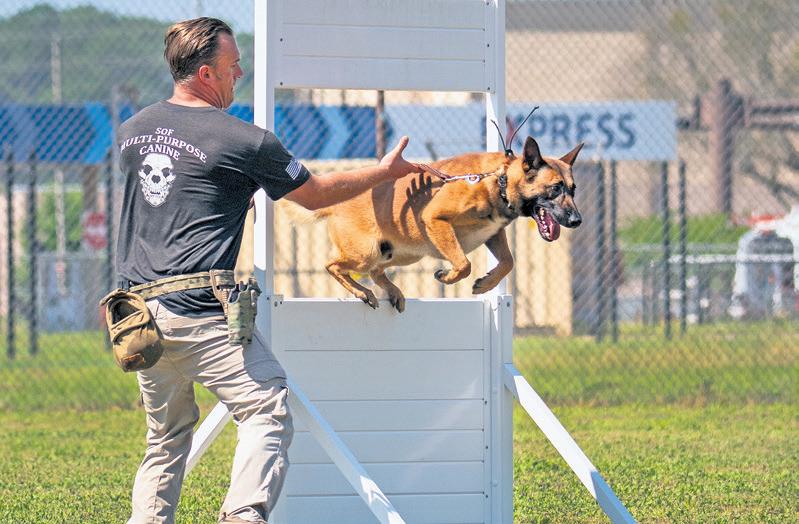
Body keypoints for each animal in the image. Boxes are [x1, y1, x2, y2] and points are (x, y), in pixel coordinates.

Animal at [289, 136, 583, 312]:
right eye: (555, 189)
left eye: (573, 189)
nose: (577, 221)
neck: (498, 180)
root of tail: (334, 204)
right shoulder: (435, 219)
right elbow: (464, 264)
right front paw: (448, 276)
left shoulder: (493, 234)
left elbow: (508, 262)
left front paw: (486, 284)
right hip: (367, 253)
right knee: (333, 266)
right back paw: (361, 292)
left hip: (403, 253)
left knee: (376, 272)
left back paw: (392, 291)